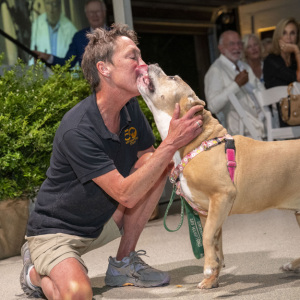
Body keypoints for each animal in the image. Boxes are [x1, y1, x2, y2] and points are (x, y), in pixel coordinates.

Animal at [137, 63, 300, 290]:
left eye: (172, 77)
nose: (152, 64)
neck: (197, 141)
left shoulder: (222, 196)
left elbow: (206, 236)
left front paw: (208, 268)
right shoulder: (209, 212)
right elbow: (215, 242)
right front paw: (212, 276)